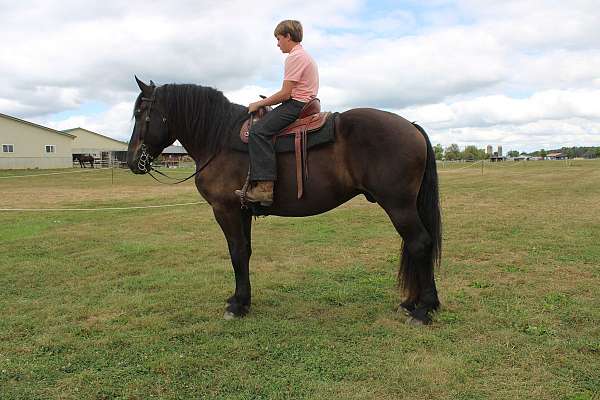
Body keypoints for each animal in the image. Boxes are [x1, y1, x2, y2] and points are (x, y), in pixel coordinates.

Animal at [126, 77, 442, 324]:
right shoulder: (242, 211)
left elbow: (236, 252)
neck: (219, 139)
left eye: (142, 113)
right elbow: (245, 252)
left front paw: (237, 305)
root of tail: (410, 125)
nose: (131, 161)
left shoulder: (226, 210)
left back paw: (423, 310)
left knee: (420, 244)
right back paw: (412, 303)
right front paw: (243, 299)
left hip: (399, 206)